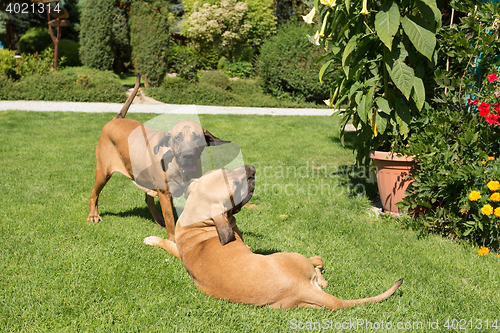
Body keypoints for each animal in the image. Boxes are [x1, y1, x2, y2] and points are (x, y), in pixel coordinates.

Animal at [88, 75, 230, 240]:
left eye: (197, 137)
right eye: (177, 138)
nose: (187, 156)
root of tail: (116, 119)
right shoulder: (165, 194)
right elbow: (170, 220)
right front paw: (173, 240)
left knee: (148, 199)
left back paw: (157, 219)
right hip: (103, 172)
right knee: (94, 192)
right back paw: (93, 215)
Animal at [144, 165, 402, 310]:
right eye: (234, 184)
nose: (251, 169)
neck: (200, 221)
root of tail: (299, 288)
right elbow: (167, 242)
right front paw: (153, 240)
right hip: (294, 256)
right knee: (319, 266)